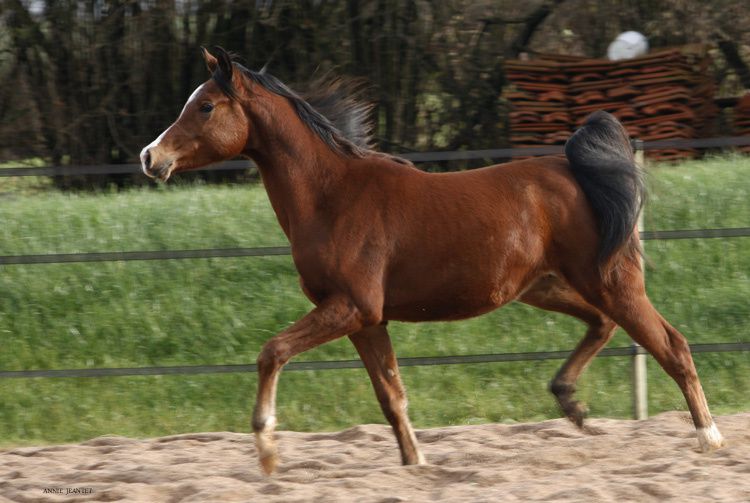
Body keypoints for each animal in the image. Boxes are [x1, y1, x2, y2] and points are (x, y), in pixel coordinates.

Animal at [140, 47, 724, 476]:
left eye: (206, 107)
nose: (151, 157)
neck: (333, 197)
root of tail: (581, 171)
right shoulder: (366, 320)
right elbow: (391, 396)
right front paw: (415, 463)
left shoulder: (350, 307)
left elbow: (272, 352)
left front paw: (265, 450)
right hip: (545, 286)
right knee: (602, 325)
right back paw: (571, 403)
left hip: (610, 281)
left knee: (671, 345)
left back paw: (709, 438)